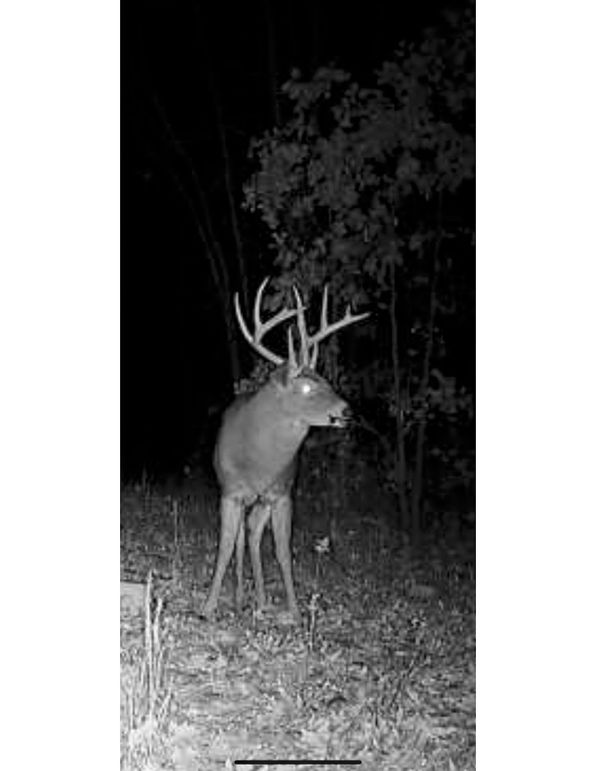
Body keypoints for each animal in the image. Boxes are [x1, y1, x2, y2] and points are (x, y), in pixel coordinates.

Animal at [200, 277, 369, 621]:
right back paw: (241, 597)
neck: (259, 460)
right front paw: (208, 607)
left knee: (252, 533)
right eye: (305, 386)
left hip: (264, 500)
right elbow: (225, 546)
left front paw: (294, 611)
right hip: (244, 498)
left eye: (326, 379)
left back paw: (261, 600)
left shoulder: (282, 493)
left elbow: (282, 550)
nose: (347, 411)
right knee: (242, 538)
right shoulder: (230, 491)